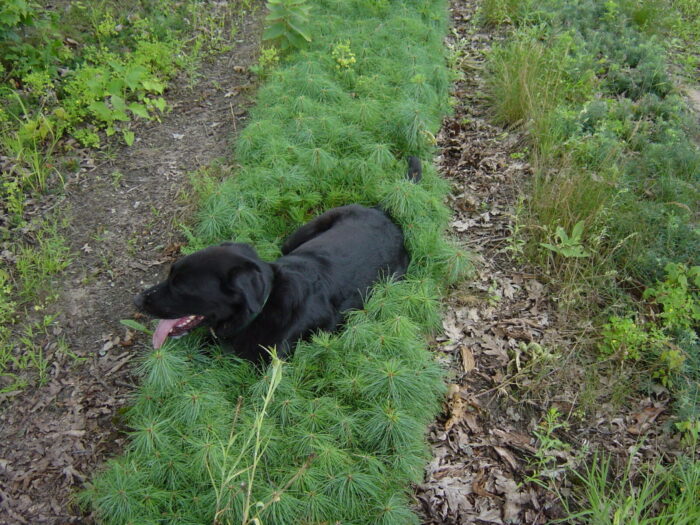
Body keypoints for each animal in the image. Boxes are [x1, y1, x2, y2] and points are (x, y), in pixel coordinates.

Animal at [136, 158, 422, 358]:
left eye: (181, 286)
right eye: (170, 275)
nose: (137, 300)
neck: (264, 304)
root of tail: (383, 211)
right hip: (299, 235)